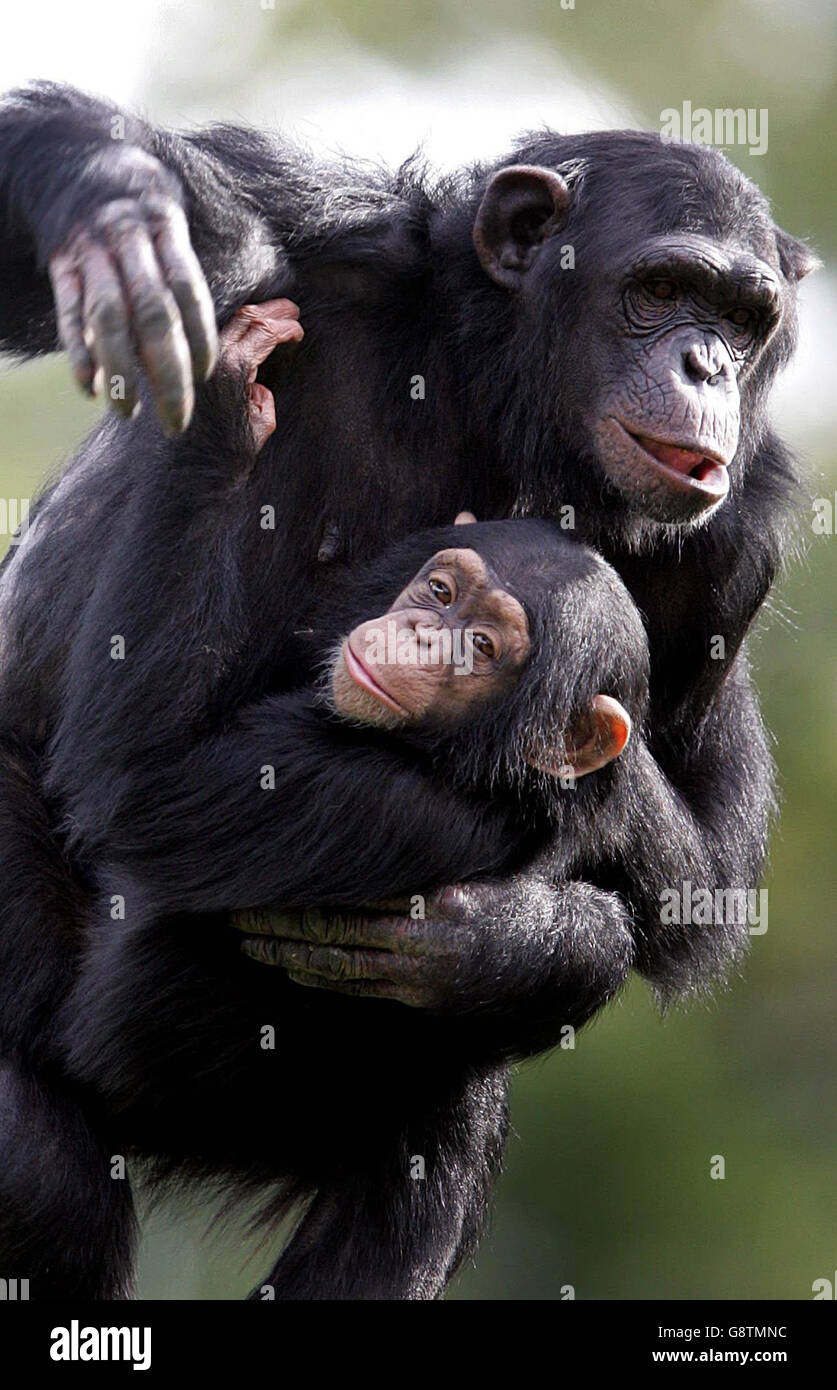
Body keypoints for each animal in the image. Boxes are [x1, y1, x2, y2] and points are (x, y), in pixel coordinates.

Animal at [0, 86, 811, 1295]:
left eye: (745, 314)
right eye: (661, 290)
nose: (708, 363)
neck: (500, 395)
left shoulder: (736, 546)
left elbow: (699, 886)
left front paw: (516, 940)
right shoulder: (304, 234)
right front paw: (113, 205)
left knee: (437, 1143)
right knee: (41, 1167)